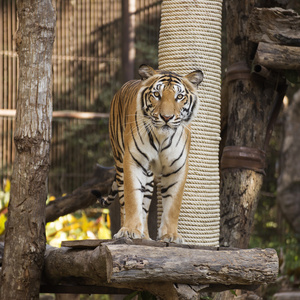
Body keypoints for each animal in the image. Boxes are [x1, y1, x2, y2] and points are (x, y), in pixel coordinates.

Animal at [102, 64, 203, 243]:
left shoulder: (177, 167)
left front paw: (171, 235)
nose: (166, 117)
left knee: (144, 206)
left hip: (148, 180)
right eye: (157, 94)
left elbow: (173, 204)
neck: (161, 137)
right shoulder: (133, 161)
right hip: (120, 164)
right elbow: (132, 198)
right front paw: (129, 230)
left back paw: (146, 237)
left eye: (179, 97)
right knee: (123, 202)